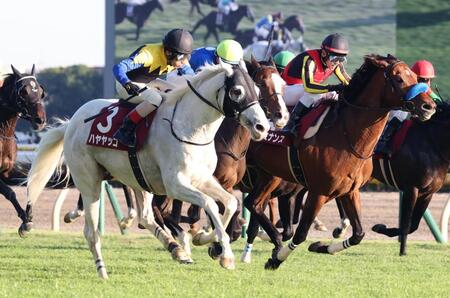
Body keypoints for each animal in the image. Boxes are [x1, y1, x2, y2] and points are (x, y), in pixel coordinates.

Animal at [0, 66, 46, 235]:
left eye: (40, 91)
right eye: (24, 91)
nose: (40, 120)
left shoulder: (7, 170)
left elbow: (29, 182)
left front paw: (29, 214)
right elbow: (9, 192)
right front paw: (25, 220)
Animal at [22, 61, 268, 278]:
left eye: (257, 90)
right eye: (237, 91)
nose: (262, 127)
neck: (189, 126)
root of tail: (72, 122)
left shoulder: (202, 178)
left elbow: (230, 202)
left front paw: (206, 239)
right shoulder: (175, 184)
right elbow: (210, 204)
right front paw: (225, 254)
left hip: (138, 178)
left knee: (146, 217)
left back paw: (176, 249)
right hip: (89, 181)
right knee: (92, 232)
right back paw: (102, 271)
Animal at [243, 54, 436, 270]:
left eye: (416, 77)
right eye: (399, 78)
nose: (429, 106)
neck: (346, 135)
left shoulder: (350, 190)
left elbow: (359, 234)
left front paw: (320, 246)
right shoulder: (319, 192)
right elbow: (301, 233)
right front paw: (276, 260)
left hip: (269, 174)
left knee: (254, 203)